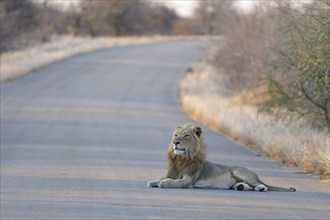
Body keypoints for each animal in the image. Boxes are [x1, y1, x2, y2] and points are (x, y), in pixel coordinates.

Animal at [148, 123, 296, 192]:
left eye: (186, 136)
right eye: (176, 135)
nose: (175, 142)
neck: (181, 159)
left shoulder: (188, 180)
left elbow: (173, 182)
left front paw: (164, 183)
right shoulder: (173, 173)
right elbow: (160, 178)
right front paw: (154, 181)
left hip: (240, 172)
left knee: (263, 185)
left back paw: (260, 188)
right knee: (246, 186)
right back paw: (241, 187)